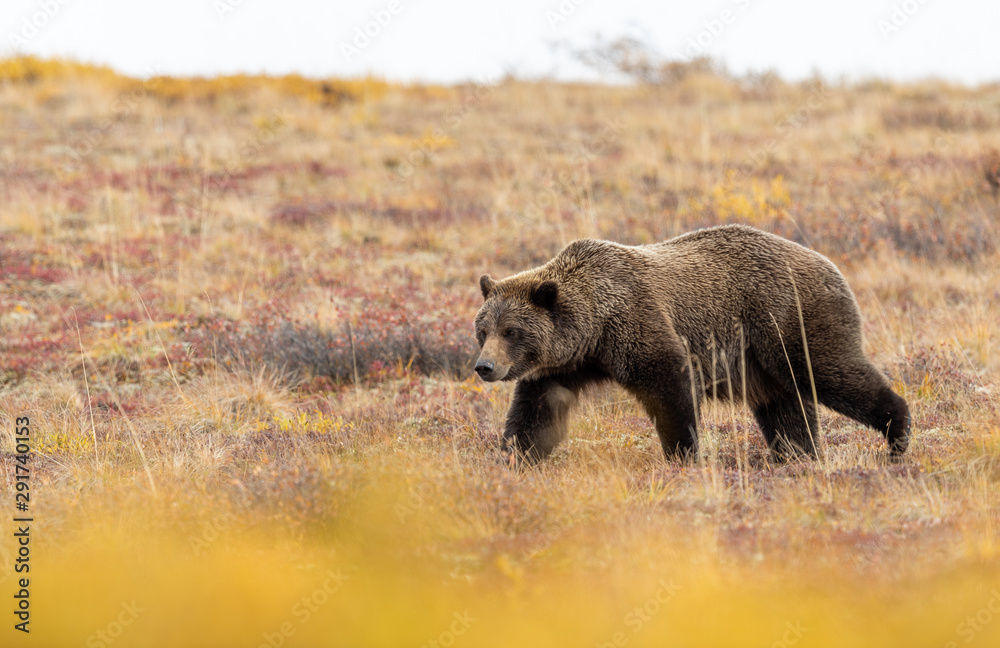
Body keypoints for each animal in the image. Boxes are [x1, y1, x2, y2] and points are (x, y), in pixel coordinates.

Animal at [473, 224, 910, 464]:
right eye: (482, 330)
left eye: (512, 330)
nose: (484, 367)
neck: (593, 331)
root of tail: (830, 263)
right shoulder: (562, 368)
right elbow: (537, 416)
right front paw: (513, 459)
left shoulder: (638, 325)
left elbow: (672, 388)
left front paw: (684, 455)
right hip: (762, 360)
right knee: (786, 408)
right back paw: (798, 456)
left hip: (788, 319)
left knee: (831, 371)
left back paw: (897, 435)